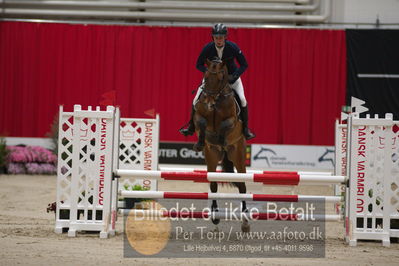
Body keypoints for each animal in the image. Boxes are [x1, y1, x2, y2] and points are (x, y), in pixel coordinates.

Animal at [194, 57, 250, 231]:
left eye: (220, 79)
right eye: (205, 77)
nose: (208, 102)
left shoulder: (232, 120)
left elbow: (226, 124)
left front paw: (222, 138)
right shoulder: (199, 117)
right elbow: (201, 121)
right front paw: (200, 143)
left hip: (238, 155)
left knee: (243, 187)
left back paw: (245, 221)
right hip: (212, 156)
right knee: (213, 186)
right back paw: (215, 216)